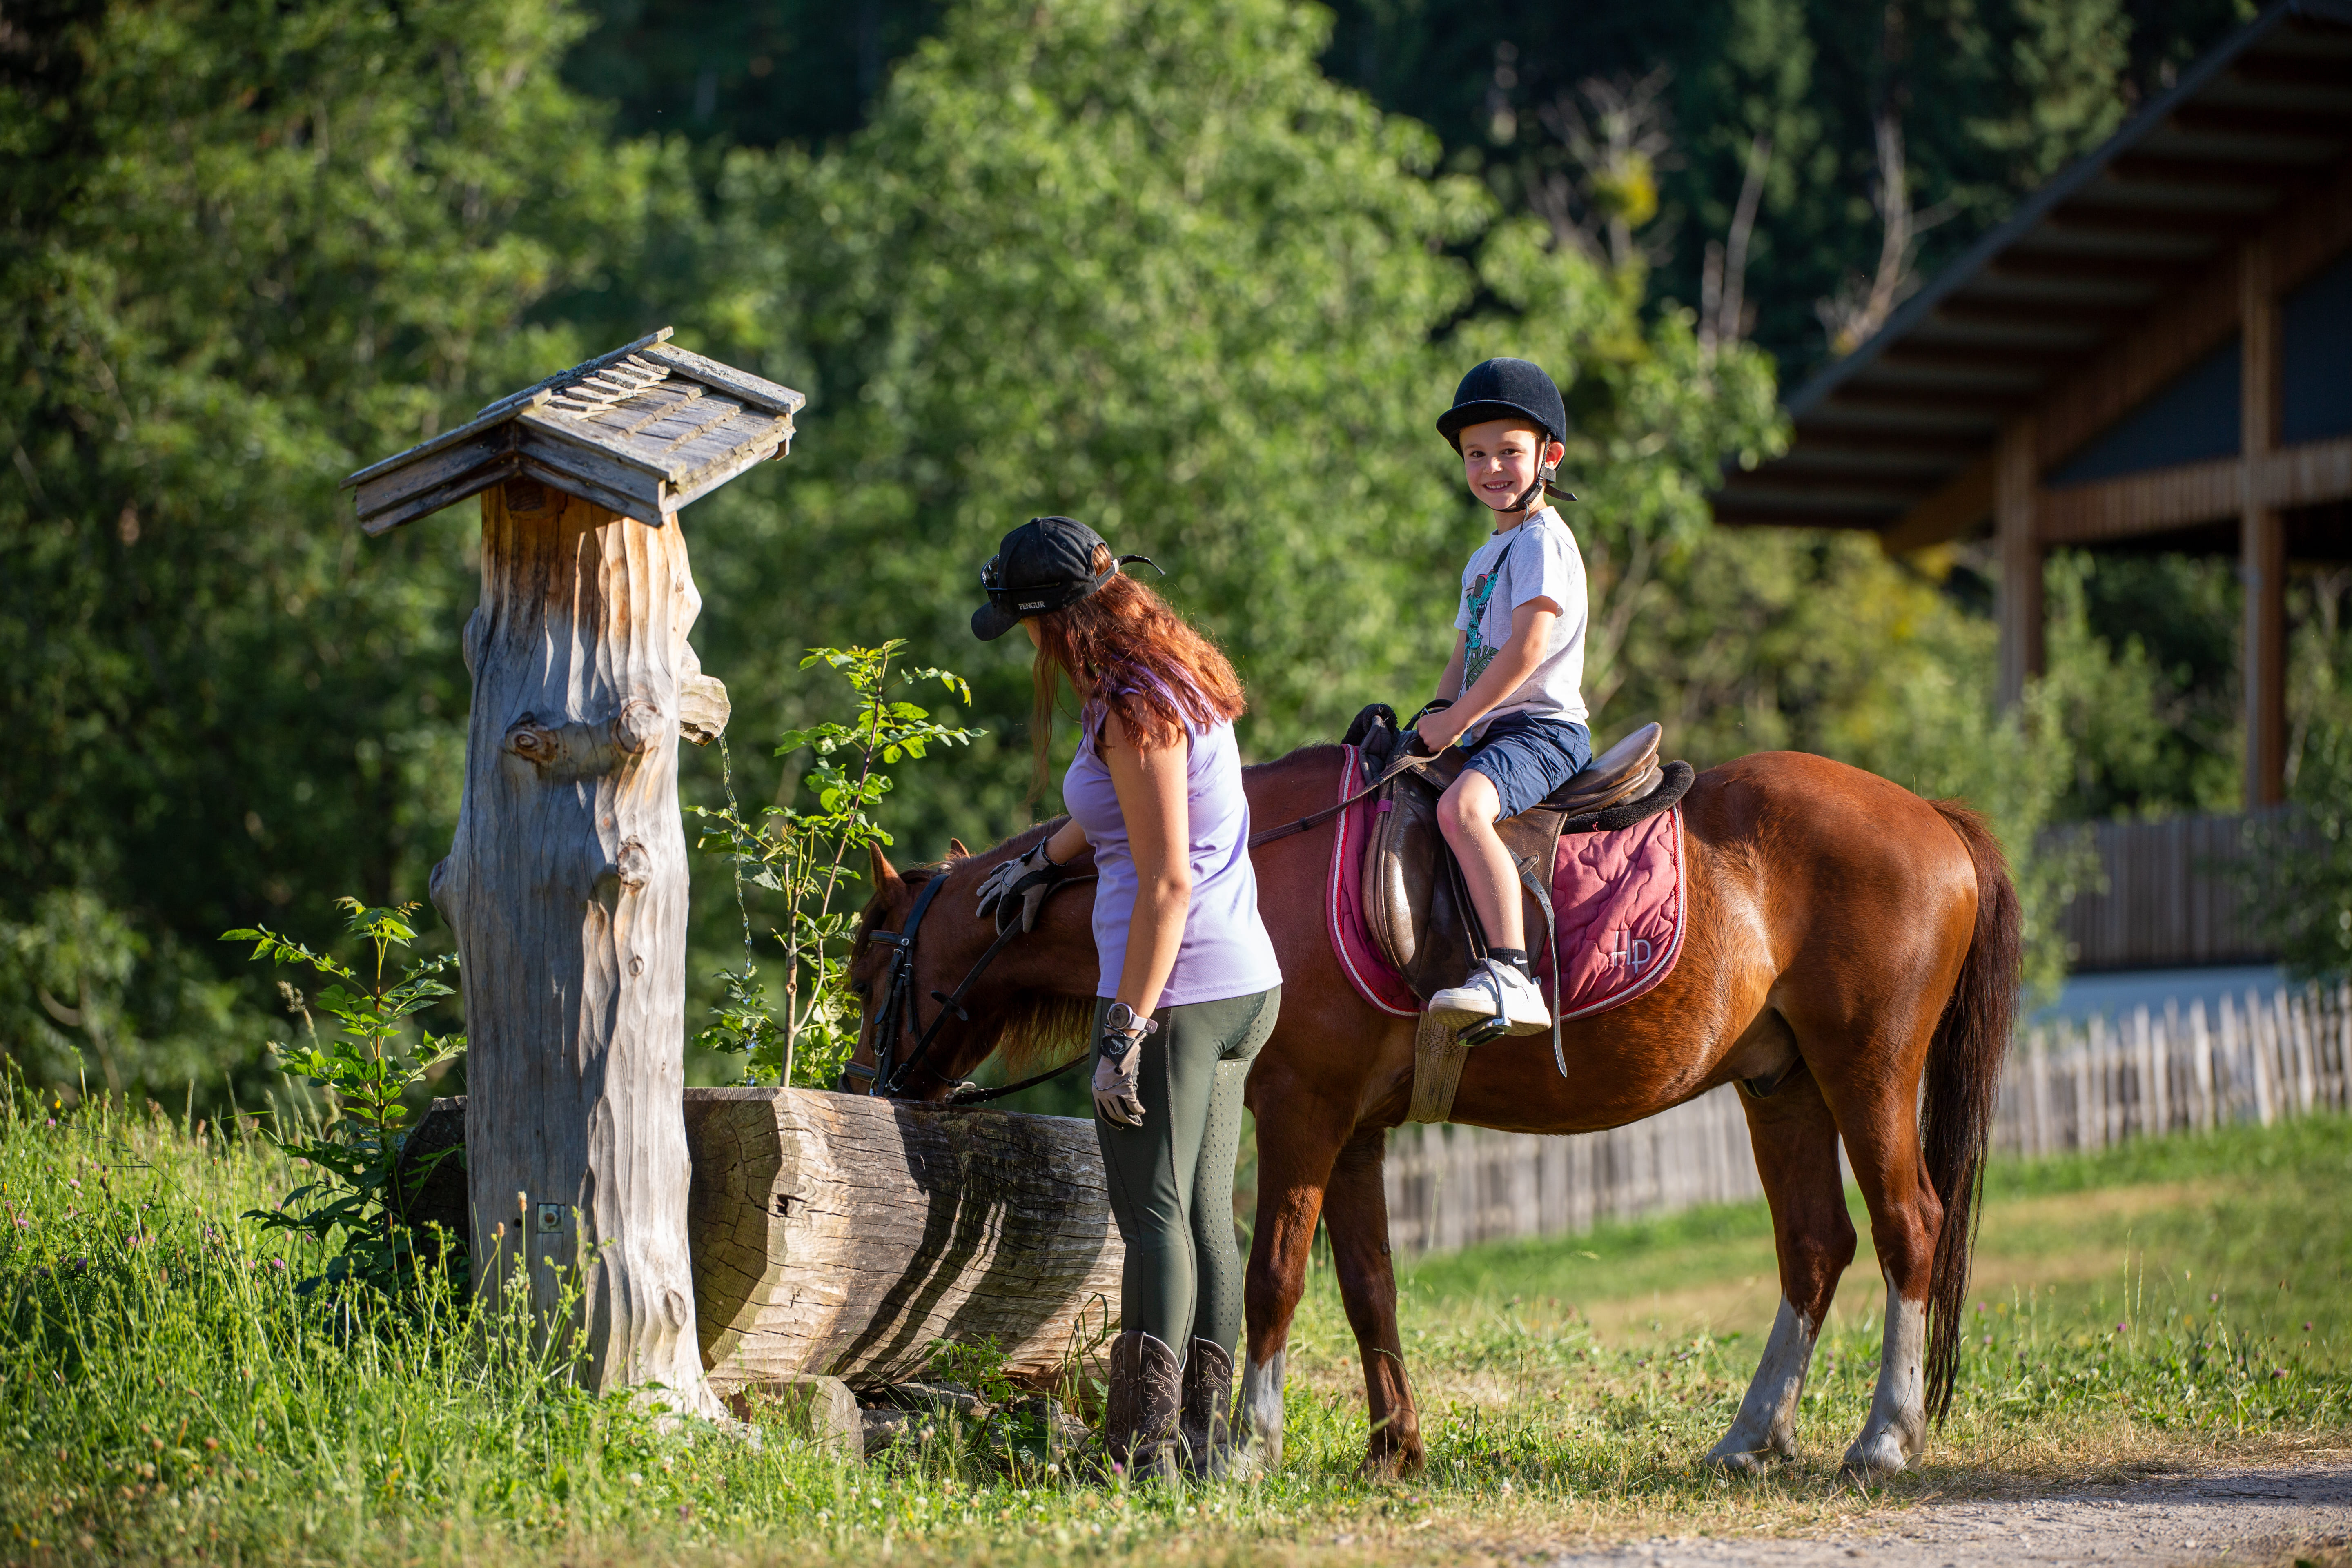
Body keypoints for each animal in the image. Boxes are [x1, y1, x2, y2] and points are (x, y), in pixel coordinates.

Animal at [843, 742, 2018, 1479]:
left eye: (866, 972)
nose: (863, 1083)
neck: (1240, 877)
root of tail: (1934, 816)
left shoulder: (1303, 1113)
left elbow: (1274, 1277)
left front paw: (1245, 1447)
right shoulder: (1356, 1131)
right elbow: (1371, 1289)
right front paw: (1393, 1448)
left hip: (1867, 1070)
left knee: (1910, 1230)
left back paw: (1885, 1438)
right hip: (1783, 1086)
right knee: (1815, 1248)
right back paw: (1752, 1437)